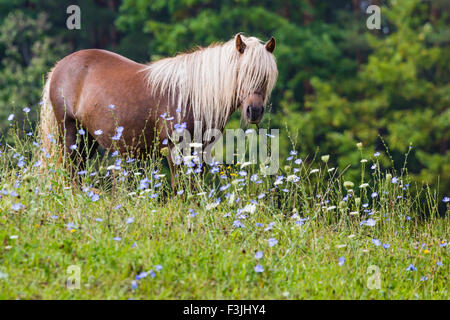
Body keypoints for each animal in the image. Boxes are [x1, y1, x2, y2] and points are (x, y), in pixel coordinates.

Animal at [39, 33, 278, 184]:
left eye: (266, 76)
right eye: (242, 72)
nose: (254, 111)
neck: (192, 95)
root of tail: (60, 66)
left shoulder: (200, 151)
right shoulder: (176, 150)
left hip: (87, 139)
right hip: (69, 133)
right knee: (70, 172)